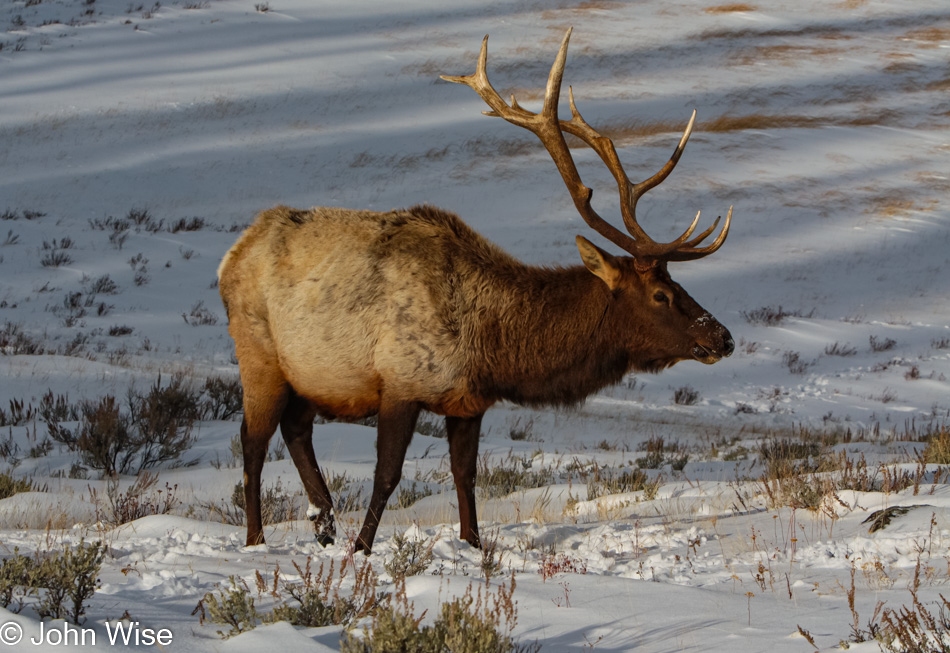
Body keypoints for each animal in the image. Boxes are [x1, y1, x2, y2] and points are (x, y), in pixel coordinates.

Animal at [218, 28, 736, 552]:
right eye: (660, 295)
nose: (722, 337)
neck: (490, 347)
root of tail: (233, 253)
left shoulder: (468, 403)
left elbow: (466, 476)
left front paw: (472, 545)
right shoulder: (400, 383)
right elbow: (387, 475)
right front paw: (361, 549)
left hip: (311, 374)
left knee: (296, 428)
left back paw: (323, 523)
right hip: (259, 354)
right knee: (252, 443)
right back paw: (257, 539)